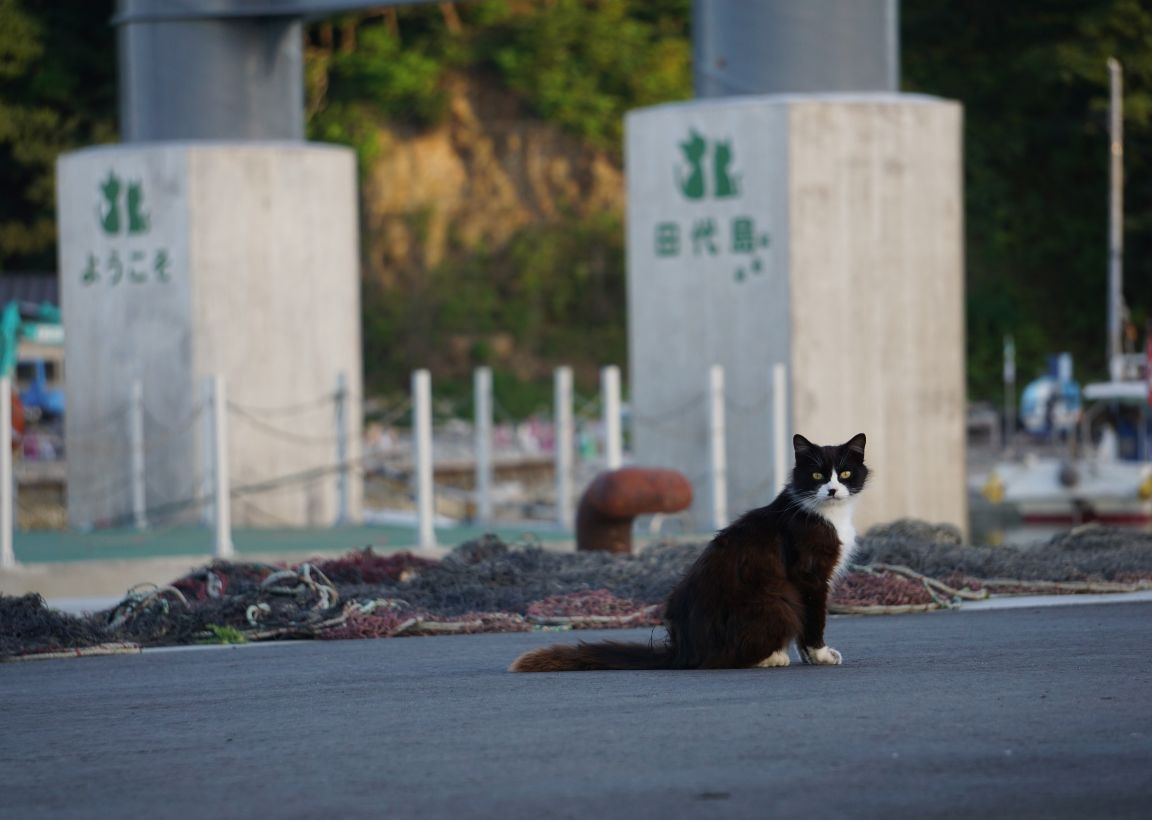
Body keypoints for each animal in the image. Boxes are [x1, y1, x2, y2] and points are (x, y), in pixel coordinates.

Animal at [509, 432, 866, 667]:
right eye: (817, 474)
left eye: (845, 473)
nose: (832, 490)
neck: (828, 515)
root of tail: (683, 651)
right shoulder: (809, 575)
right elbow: (813, 618)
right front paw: (820, 654)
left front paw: (810, 657)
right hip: (777, 597)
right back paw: (770, 658)